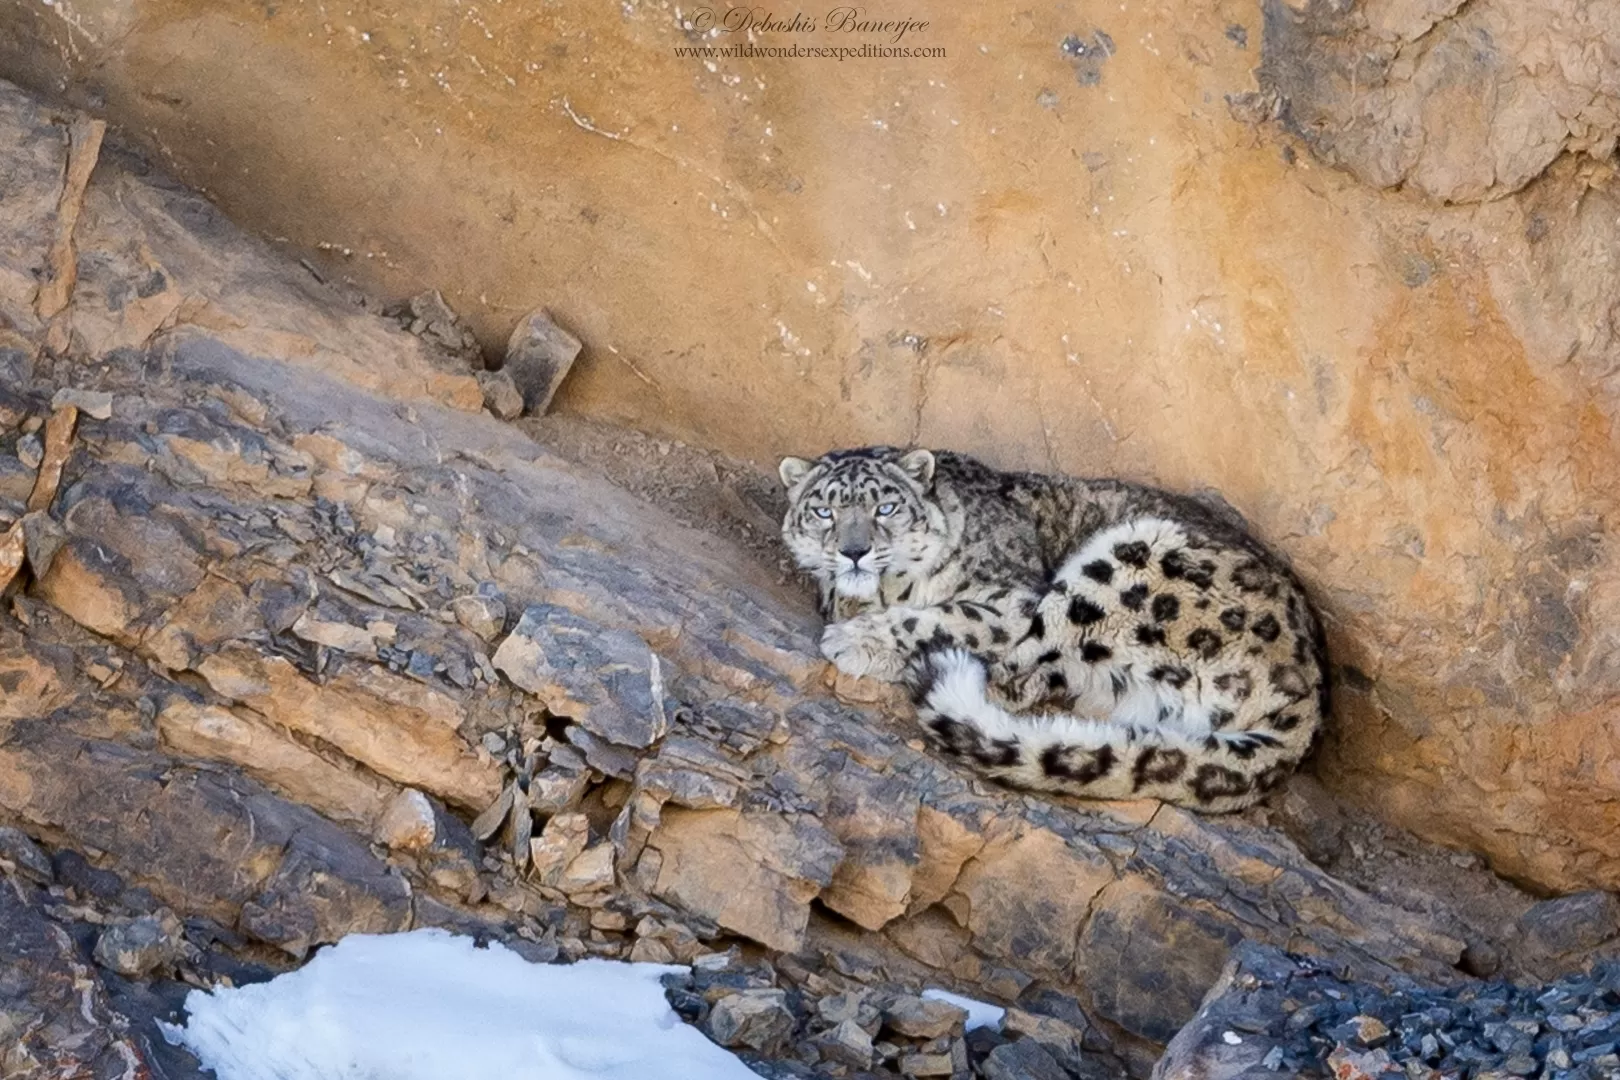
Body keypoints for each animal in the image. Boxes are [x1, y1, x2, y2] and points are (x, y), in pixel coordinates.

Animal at [778, 446, 1328, 813]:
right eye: (823, 511)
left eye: (886, 508)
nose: (853, 551)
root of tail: (1309, 702)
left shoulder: (1011, 600)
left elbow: (947, 616)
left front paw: (857, 639)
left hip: (1124, 570)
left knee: (1015, 680)